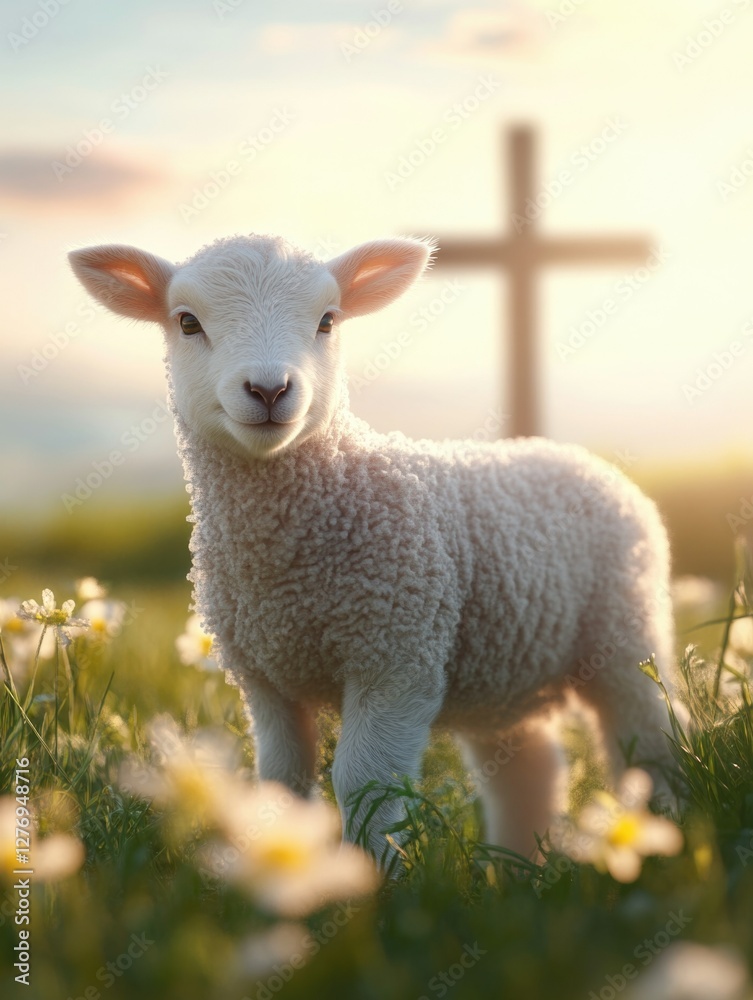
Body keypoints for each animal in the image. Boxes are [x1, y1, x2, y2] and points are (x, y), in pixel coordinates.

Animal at [68, 233, 681, 864]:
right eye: (187, 322)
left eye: (328, 320)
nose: (269, 389)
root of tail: (573, 454)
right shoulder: (263, 679)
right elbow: (281, 783)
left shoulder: (397, 657)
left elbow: (364, 783)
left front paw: (371, 874)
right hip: (502, 671)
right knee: (528, 773)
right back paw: (516, 870)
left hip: (624, 627)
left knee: (649, 739)